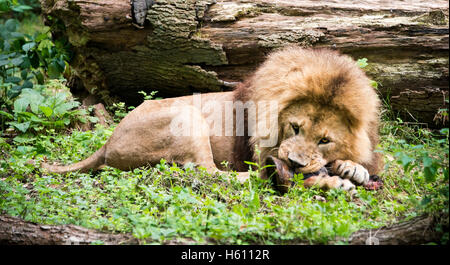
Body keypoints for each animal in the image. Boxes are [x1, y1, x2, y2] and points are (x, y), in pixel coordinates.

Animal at [41, 46, 384, 192]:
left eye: (325, 140)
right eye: (295, 127)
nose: (295, 162)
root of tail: (107, 143)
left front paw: (353, 168)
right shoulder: (264, 151)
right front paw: (332, 178)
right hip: (188, 115)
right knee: (209, 172)